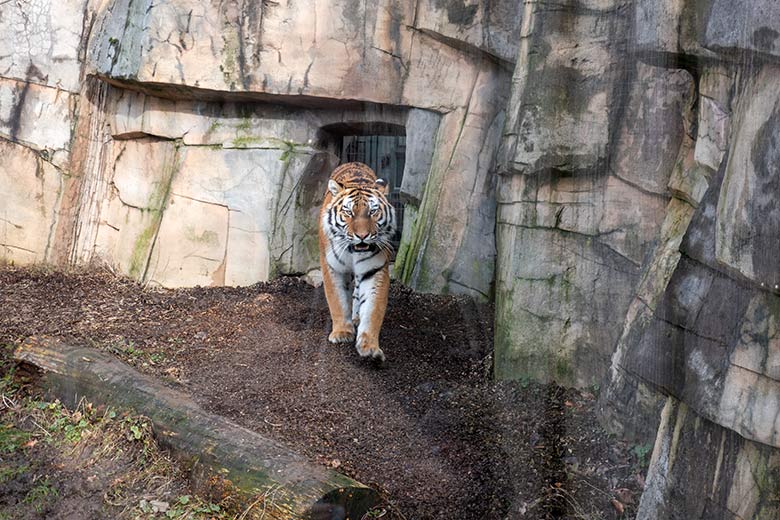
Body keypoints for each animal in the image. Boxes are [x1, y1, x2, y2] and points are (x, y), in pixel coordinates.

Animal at [318, 161, 396, 362]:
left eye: (373, 212)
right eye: (348, 212)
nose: (362, 235)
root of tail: (355, 162)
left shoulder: (375, 270)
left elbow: (372, 309)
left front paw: (369, 346)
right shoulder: (333, 268)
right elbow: (337, 300)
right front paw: (342, 332)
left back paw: (356, 317)